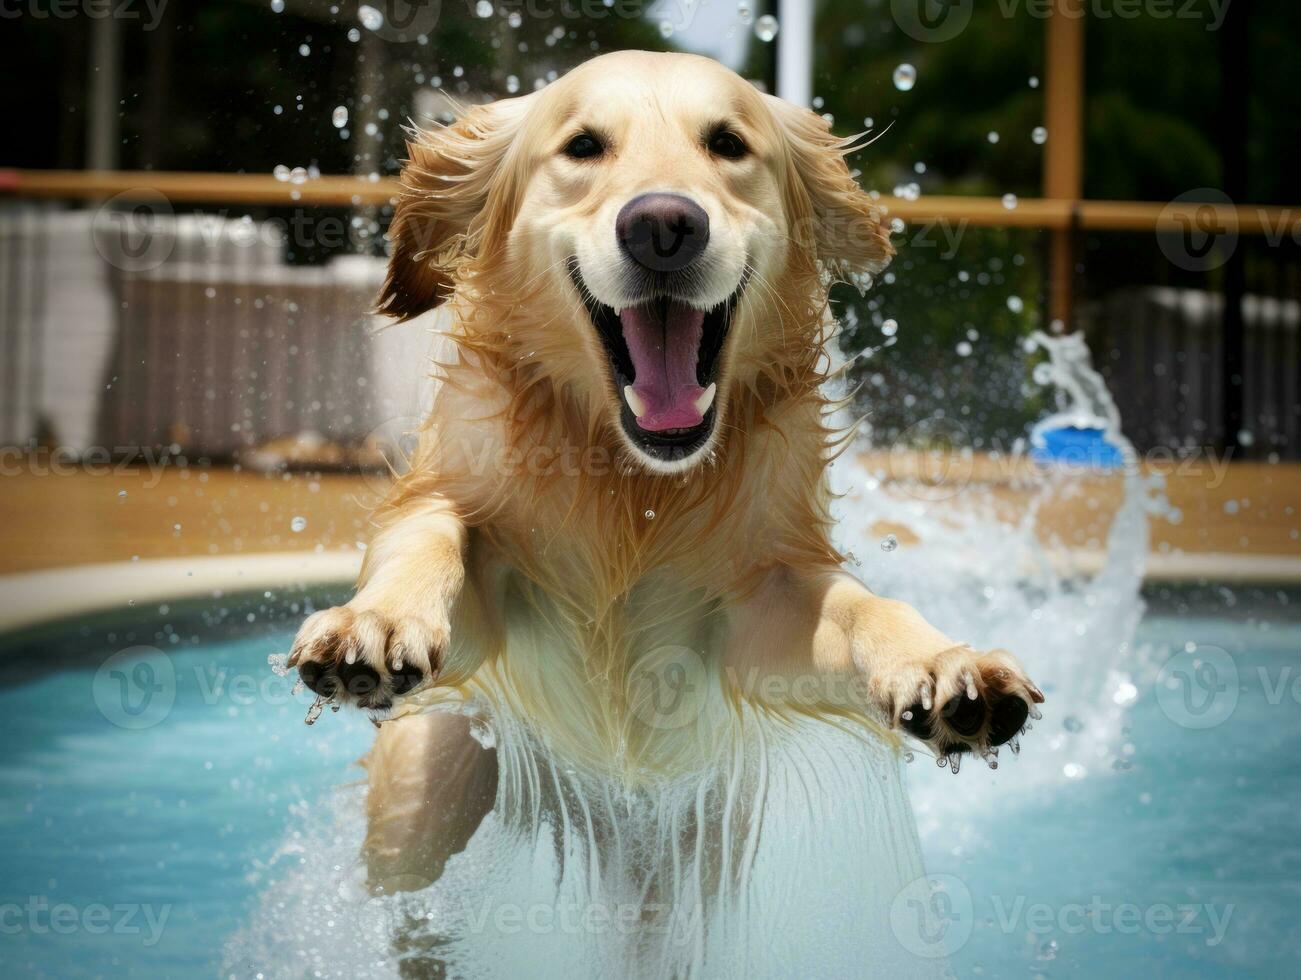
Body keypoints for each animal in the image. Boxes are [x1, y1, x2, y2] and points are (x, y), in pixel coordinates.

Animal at [290, 49, 1040, 921]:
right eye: (583, 146)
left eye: (727, 143)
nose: (661, 227)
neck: (634, 483)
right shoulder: (494, 590)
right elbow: (432, 534)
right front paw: (375, 621)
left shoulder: (758, 613)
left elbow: (860, 608)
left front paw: (941, 662)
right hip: (427, 796)